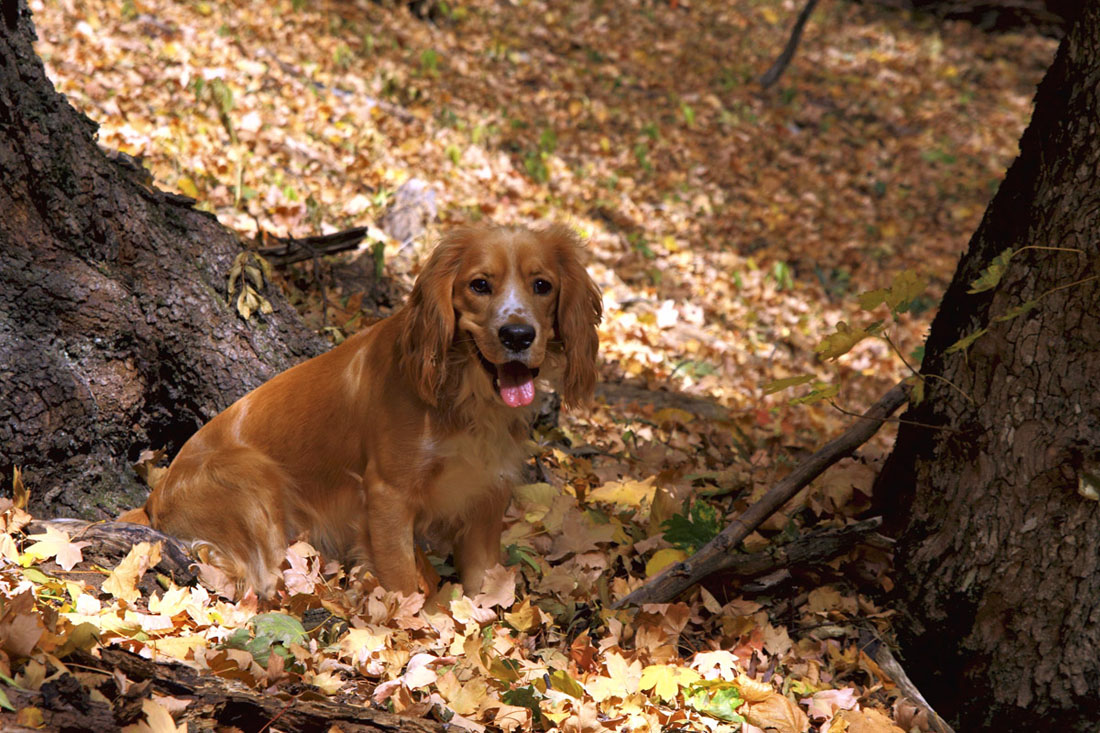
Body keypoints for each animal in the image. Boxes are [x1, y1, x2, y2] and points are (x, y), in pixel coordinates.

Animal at [120, 225, 602, 598]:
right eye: (479, 285)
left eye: (542, 285)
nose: (518, 335)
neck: (463, 394)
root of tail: (154, 498)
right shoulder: (388, 493)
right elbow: (403, 585)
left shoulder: (486, 495)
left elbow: (483, 589)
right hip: (252, 476)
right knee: (261, 580)